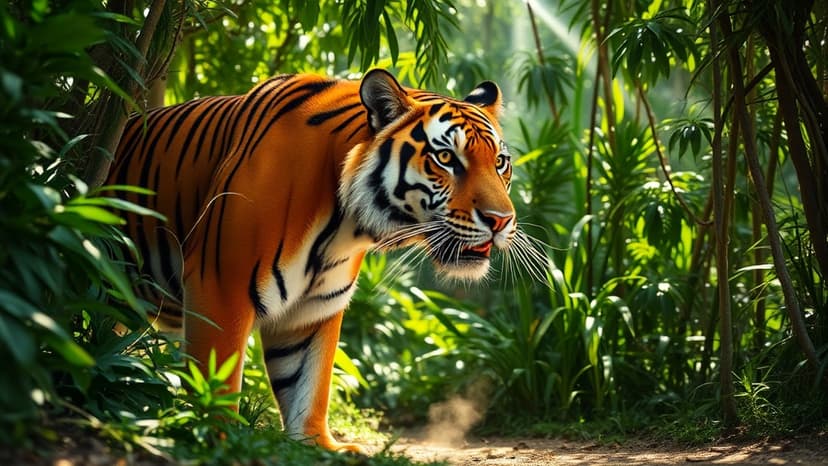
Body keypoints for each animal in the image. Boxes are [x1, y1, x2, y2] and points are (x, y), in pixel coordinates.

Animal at [109, 69, 516, 452]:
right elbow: (217, 376)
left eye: (499, 163)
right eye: (446, 159)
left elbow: (308, 382)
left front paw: (318, 444)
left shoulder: (314, 306)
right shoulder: (221, 285)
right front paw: (217, 436)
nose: (501, 220)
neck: (343, 223)